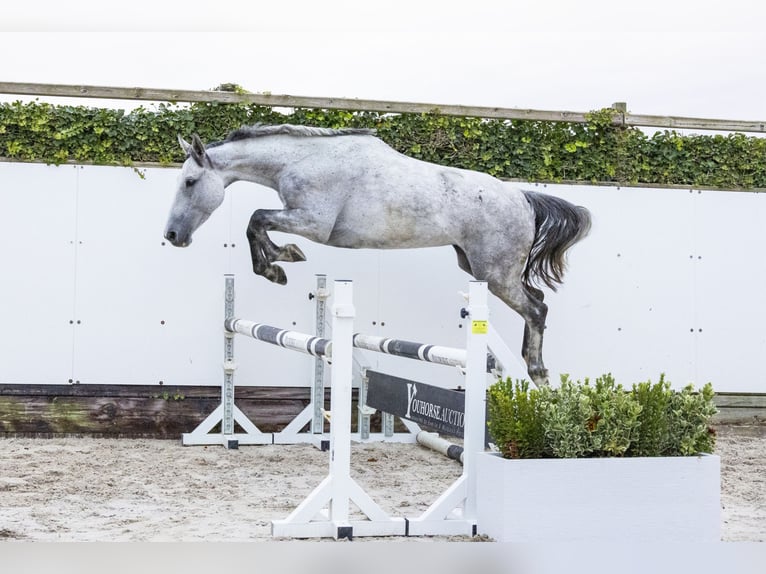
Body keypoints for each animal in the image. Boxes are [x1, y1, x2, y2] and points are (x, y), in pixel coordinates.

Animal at [164, 125, 592, 388]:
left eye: (190, 182)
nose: (172, 236)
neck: (301, 160)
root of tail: (523, 197)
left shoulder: (313, 223)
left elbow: (256, 219)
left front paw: (277, 264)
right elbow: (258, 222)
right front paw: (278, 262)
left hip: (495, 274)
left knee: (536, 309)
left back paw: (536, 372)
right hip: (478, 267)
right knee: (538, 302)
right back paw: (533, 370)